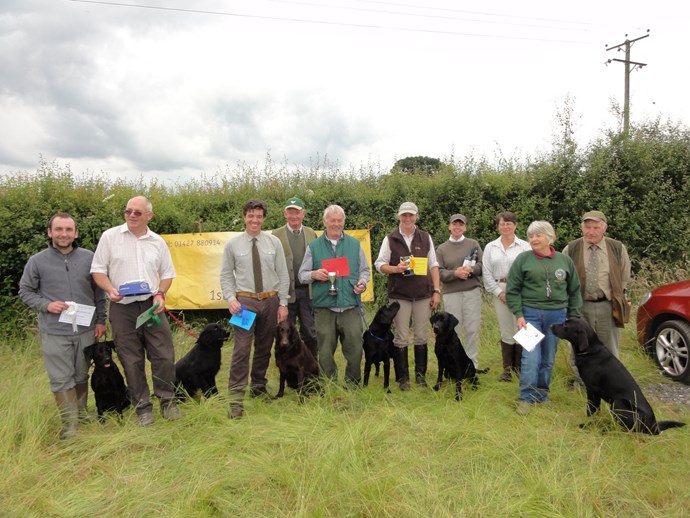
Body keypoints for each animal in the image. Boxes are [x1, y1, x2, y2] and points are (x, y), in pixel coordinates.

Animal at [551, 319, 685, 434]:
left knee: (626, 429)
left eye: (565, 325)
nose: (551, 325)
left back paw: (606, 430)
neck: (590, 351)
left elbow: (591, 410)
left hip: (618, 403)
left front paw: (587, 424)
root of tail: (655, 427)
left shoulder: (592, 391)